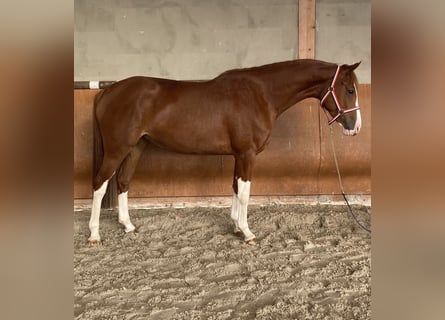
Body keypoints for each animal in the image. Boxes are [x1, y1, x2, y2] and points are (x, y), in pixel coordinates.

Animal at [87, 59, 360, 245]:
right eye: (349, 90)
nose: (355, 127)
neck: (260, 94)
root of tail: (107, 92)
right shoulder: (247, 154)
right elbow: (245, 193)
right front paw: (247, 232)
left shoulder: (239, 155)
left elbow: (235, 187)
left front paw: (236, 226)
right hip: (117, 149)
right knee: (100, 184)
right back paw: (94, 234)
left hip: (135, 147)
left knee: (123, 182)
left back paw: (128, 226)